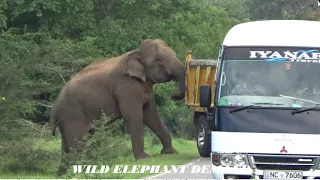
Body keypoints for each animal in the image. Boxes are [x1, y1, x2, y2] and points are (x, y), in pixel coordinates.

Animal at [48, 38, 186, 176]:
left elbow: (151, 115)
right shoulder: (125, 86)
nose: (175, 95)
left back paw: (62, 175)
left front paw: (170, 153)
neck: (136, 52)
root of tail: (55, 107)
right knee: (78, 143)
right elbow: (134, 116)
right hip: (72, 115)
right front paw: (144, 158)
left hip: (66, 119)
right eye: (158, 60)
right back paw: (78, 173)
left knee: (67, 145)